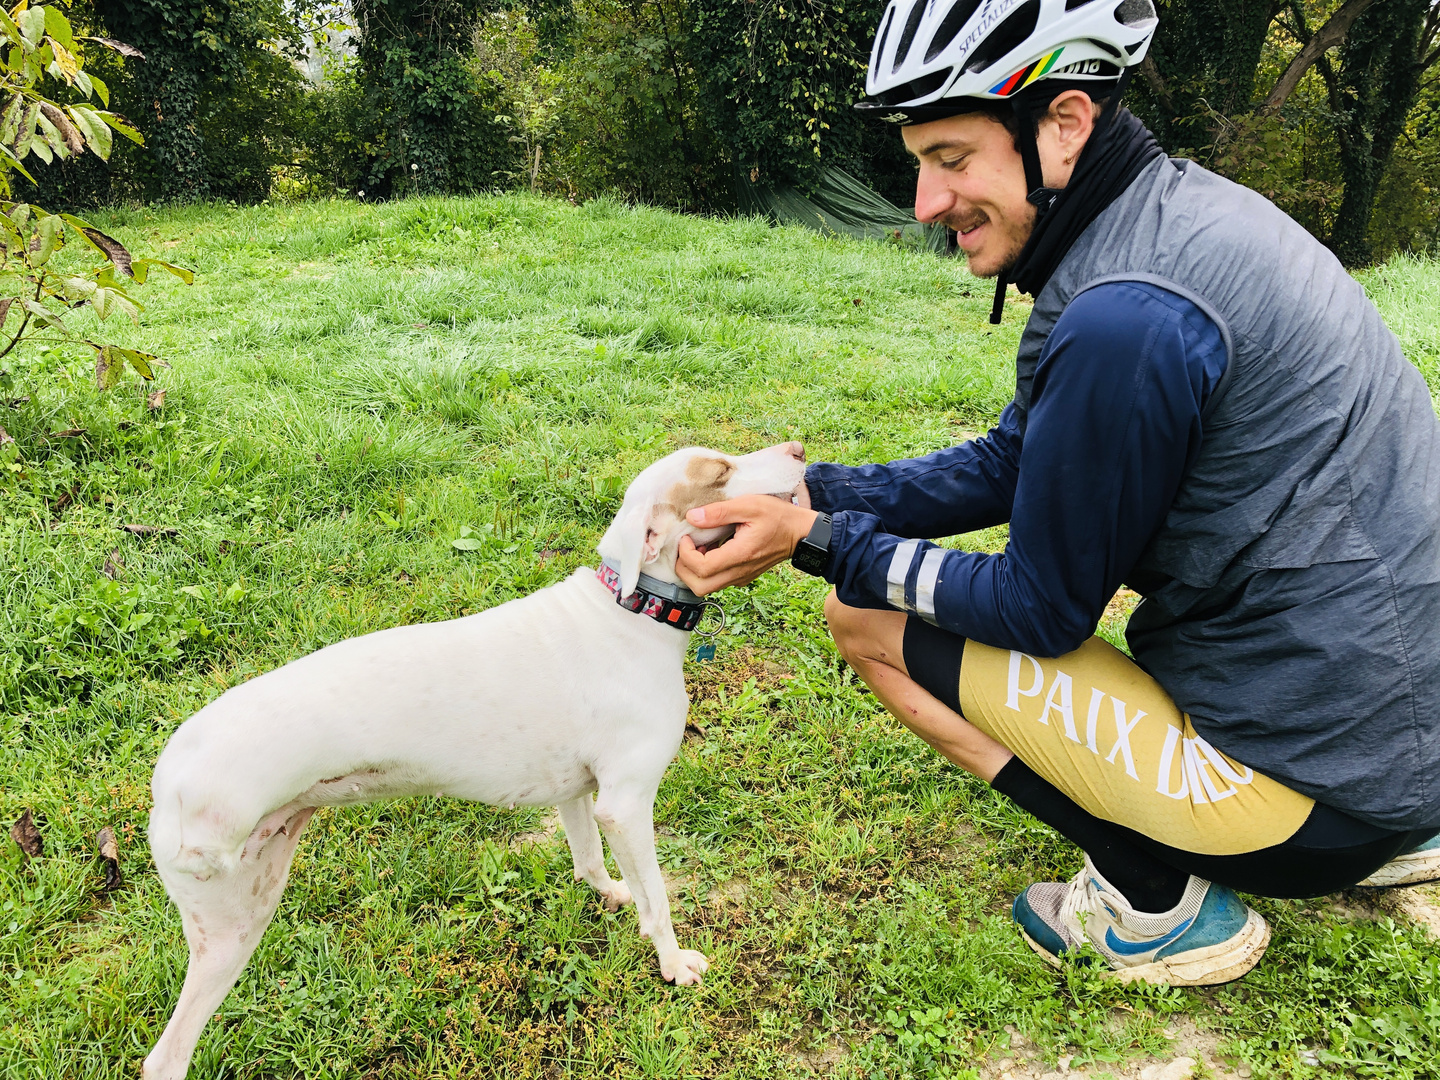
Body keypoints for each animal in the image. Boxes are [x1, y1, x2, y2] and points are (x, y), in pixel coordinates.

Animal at [141, 440, 812, 1080]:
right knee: (165, 1059)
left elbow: (589, 863)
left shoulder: (578, 794)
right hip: (227, 933)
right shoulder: (626, 806)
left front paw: (613, 894)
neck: (631, 613)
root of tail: (166, 775)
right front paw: (673, 965)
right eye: (718, 471)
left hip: (256, 895)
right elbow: (660, 904)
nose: (800, 451)